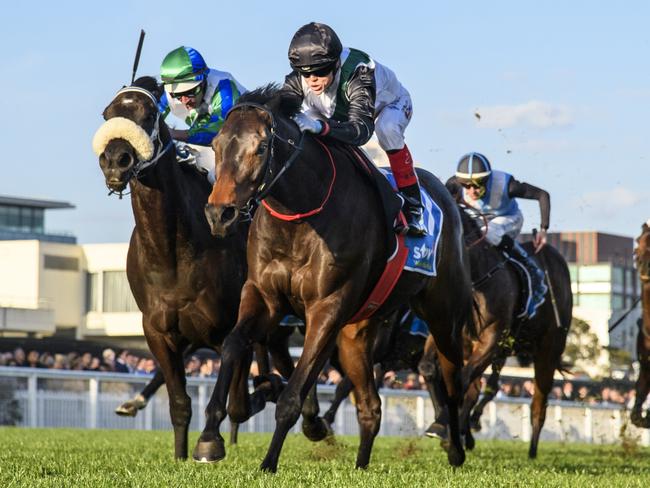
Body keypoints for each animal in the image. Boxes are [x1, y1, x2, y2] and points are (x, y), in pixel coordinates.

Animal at [92, 78, 249, 460]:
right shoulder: (158, 330)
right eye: (107, 114)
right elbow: (179, 404)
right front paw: (179, 457)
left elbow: (225, 393)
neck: (172, 253)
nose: (115, 160)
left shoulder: (225, 328)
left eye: (149, 114)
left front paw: (210, 443)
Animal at [197, 86, 470, 470]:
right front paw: (210, 436)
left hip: (445, 315)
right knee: (371, 406)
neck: (299, 215)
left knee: (454, 380)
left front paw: (268, 464)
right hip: (357, 333)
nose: (219, 214)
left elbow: (292, 397)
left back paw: (455, 446)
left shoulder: (326, 308)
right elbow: (234, 344)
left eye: (261, 147)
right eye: (217, 144)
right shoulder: (263, 294)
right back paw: (361, 465)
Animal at [418, 201, 568, 458]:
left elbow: (462, 381)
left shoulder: (493, 337)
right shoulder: (448, 332)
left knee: (539, 402)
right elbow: (429, 368)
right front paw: (443, 425)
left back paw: (532, 450)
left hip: (548, 350)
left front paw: (446, 426)